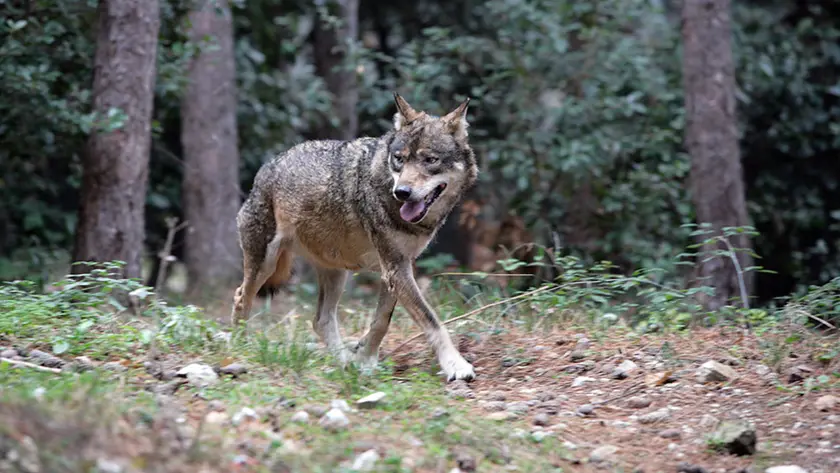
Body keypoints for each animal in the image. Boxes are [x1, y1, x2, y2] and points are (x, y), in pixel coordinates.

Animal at [230, 92, 480, 380]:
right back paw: (239, 348)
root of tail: (267, 167)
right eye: (399, 159)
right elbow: (431, 320)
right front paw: (456, 365)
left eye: (430, 160)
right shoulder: (396, 268)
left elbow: (381, 321)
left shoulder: (396, 269)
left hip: (336, 273)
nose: (402, 192)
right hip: (266, 264)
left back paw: (344, 363)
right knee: (241, 297)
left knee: (320, 320)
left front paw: (364, 361)